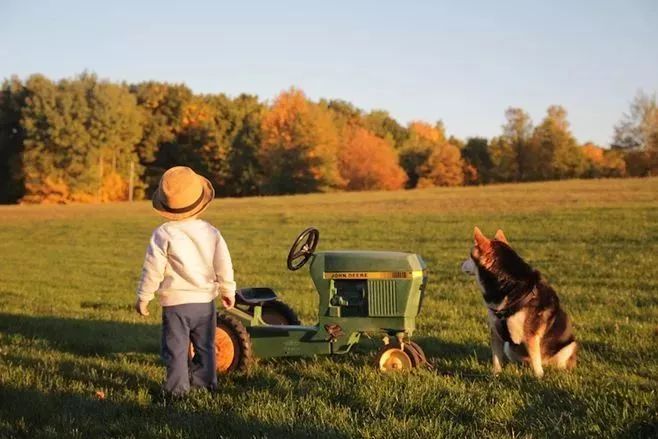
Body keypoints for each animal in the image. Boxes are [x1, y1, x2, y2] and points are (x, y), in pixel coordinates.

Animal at [458, 227, 576, 378]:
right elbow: (496, 358)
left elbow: (535, 359)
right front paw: (496, 375)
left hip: (568, 347)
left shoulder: (531, 335)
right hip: (509, 347)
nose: (460, 264)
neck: (507, 284)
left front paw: (539, 377)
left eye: (469, 256)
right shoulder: (495, 332)